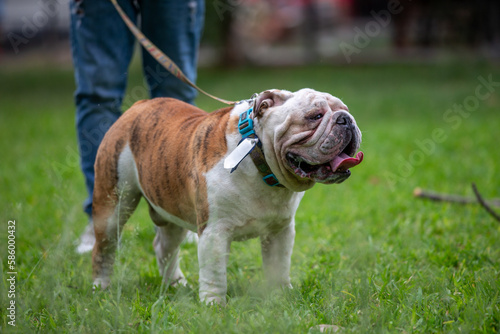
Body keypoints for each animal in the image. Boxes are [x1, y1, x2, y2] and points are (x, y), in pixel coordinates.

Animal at [92, 88, 362, 302]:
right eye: (314, 116)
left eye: (346, 110)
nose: (346, 119)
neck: (258, 157)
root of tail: (139, 105)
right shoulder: (214, 232)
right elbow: (214, 273)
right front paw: (213, 305)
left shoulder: (280, 231)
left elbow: (279, 265)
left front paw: (280, 295)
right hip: (113, 205)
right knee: (104, 248)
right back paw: (100, 289)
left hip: (171, 209)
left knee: (164, 246)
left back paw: (176, 285)